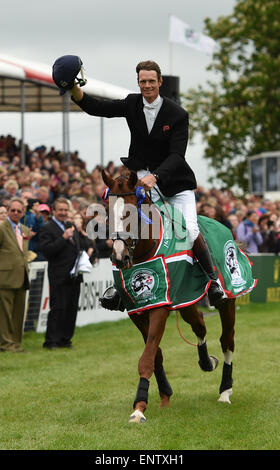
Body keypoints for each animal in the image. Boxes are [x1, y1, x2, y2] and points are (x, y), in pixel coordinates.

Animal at [101, 171, 235, 424]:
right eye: (107, 211)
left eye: (132, 212)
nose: (119, 257)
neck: (144, 252)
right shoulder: (137, 311)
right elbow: (156, 355)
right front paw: (162, 397)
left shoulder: (160, 307)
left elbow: (146, 358)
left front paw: (138, 409)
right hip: (186, 301)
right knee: (200, 326)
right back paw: (206, 362)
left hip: (227, 301)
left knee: (227, 341)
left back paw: (225, 391)